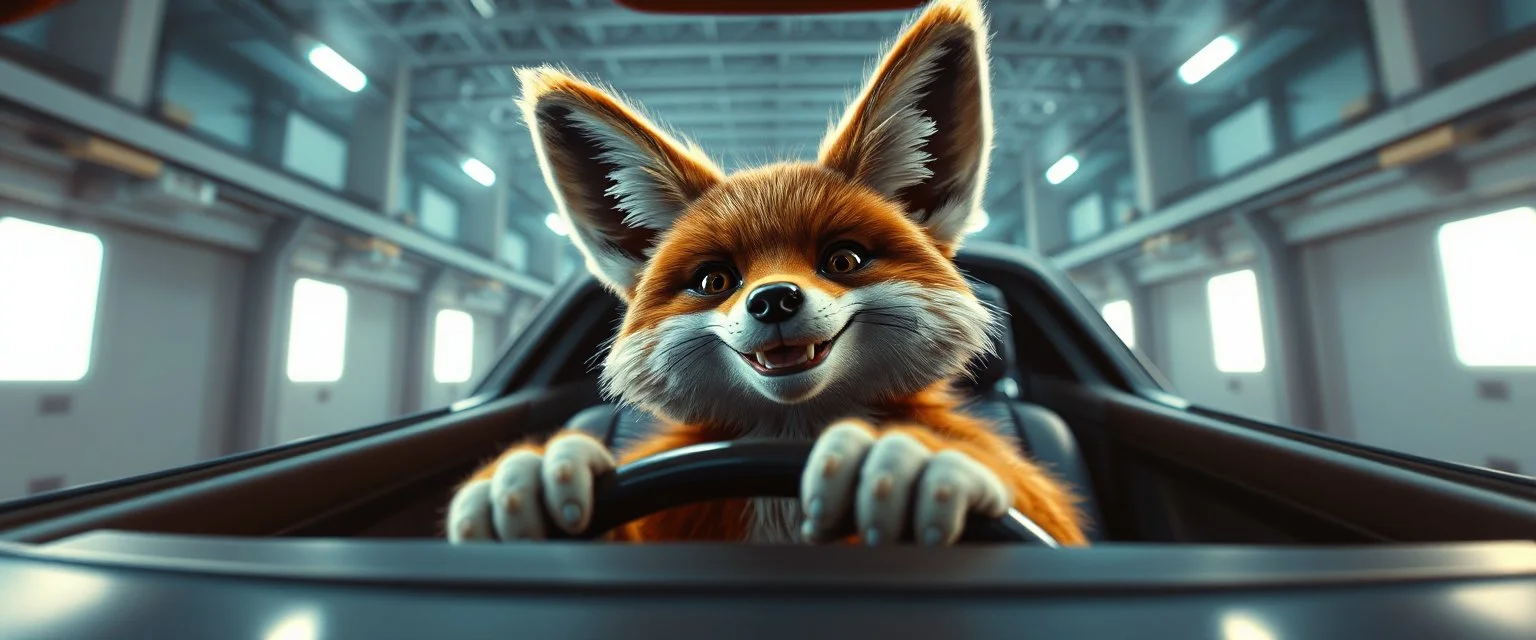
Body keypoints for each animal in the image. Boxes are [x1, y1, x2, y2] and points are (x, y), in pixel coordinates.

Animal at [446, 0, 1089, 547]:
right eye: (715, 281)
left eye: (843, 260)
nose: (774, 299)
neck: (790, 452)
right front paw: (536, 472)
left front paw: (916, 460)